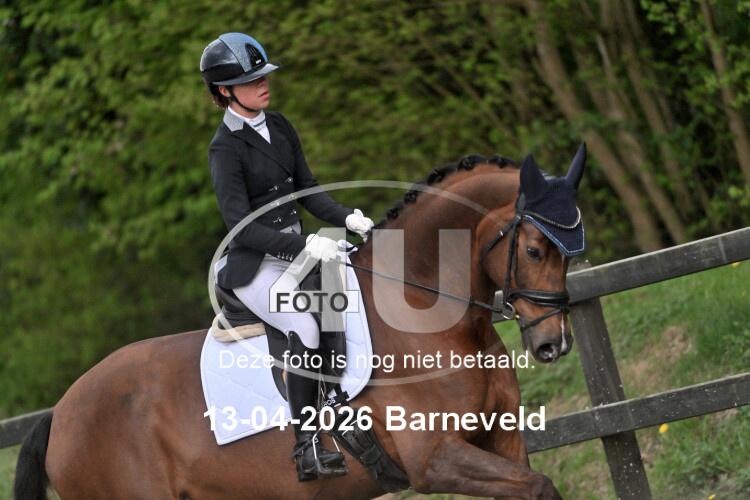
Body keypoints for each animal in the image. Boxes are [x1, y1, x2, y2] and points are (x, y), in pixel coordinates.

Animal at [14, 147, 585, 500]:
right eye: (535, 250)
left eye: (573, 253)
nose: (553, 345)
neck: (428, 316)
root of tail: (60, 413)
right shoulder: (435, 460)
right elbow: (540, 486)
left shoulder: (502, 438)